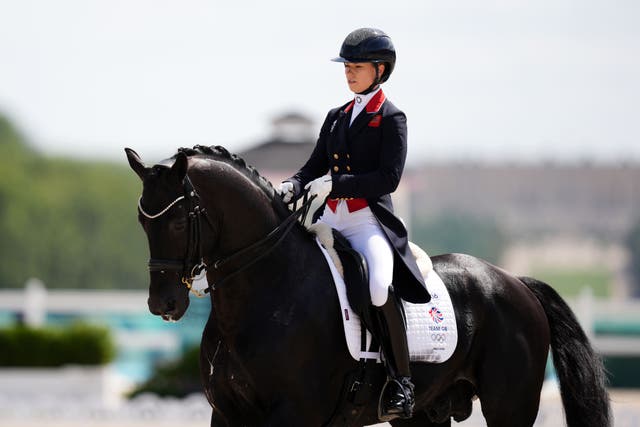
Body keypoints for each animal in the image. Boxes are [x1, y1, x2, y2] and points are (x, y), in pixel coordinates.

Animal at [125, 145, 608, 426]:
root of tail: (514, 282)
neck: (267, 290)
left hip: (510, 404)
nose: (162, 303)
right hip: (426, 413)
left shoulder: (293, 415)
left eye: (178, 220)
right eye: (141, 222)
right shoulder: (227, 416)